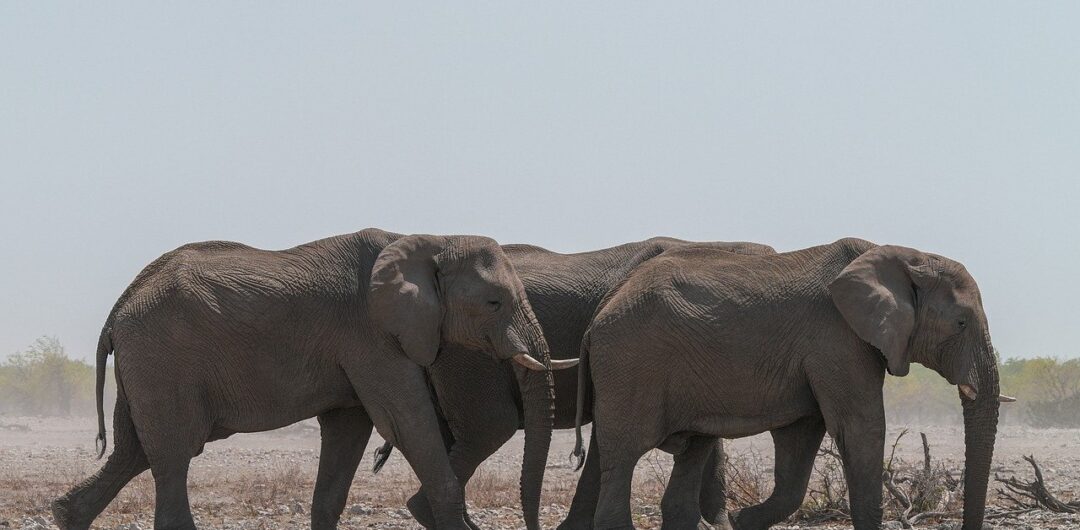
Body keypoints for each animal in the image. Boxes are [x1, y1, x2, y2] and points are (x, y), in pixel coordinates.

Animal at [50, 228, 561, 530]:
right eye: (495, 303)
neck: (433, 237)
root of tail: (120, 305)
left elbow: (348, 431)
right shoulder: (371, 334)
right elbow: (405, 422)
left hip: (146, 365)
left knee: (132, 451)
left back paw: (66, 513)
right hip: (163, 361)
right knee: (174, 455)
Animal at [571, 238, 1006, 530]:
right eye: (961, 323)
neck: (902, 254)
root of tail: (600, 313)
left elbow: (802, 438)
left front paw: (742, 521)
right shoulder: (837, 338)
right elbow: (859, 428)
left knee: (692, 449)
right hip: (630, 364)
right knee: (625, 454)